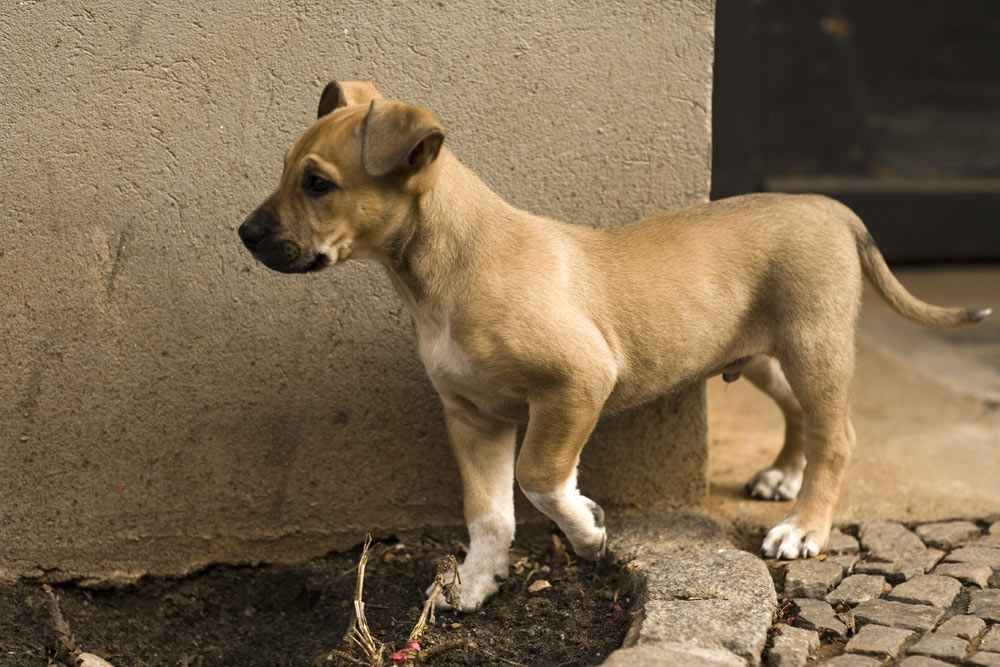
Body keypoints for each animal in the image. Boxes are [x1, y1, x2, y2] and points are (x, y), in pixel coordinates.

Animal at [236, 81, 992, 612]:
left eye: (318, 183)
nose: (244, 233)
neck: (445, 268)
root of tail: (829, 205)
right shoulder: (471, 416)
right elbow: (488, 511)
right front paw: (477, 580)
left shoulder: (576, 384)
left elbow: (540, 476)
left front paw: (587, 530)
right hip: (759, 354)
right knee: (802, 413)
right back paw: (782, 474)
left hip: (814, 345)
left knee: (839, 435)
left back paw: (804, 526)